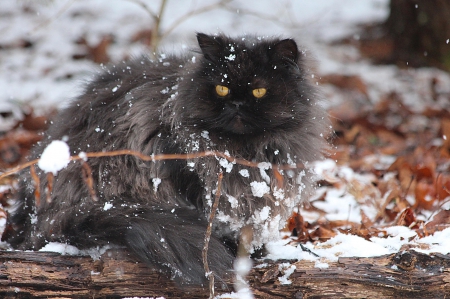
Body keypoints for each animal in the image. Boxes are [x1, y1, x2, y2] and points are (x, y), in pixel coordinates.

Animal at [2, 32, 326, 286]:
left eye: (259, 90)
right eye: (221, 88)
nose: (235, 104)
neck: (245, 153)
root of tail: (37, 217)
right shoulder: (193, 181)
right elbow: (215, 223)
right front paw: (238, 251)